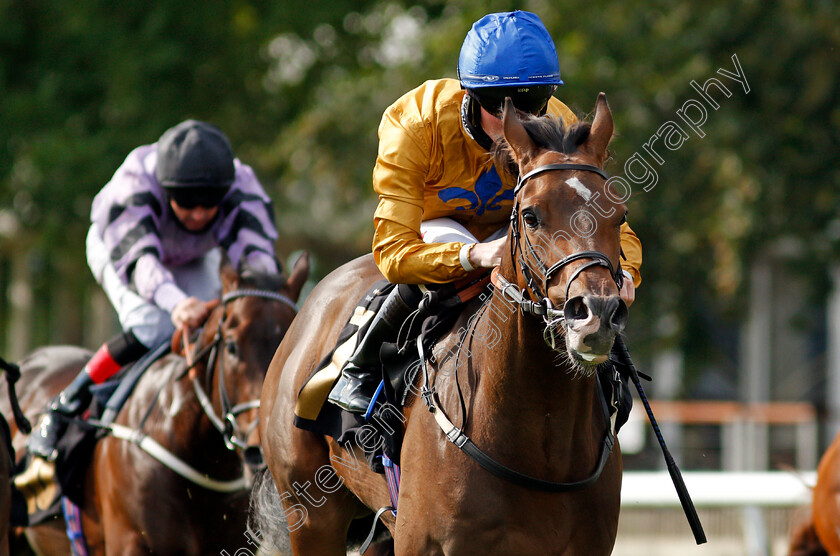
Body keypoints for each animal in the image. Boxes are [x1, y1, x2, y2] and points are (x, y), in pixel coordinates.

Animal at [256, 93, 632, 552]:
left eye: (618, 214)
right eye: (530, 216)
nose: (596, 313)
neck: (540, 442)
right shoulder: (424, 543)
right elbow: (398, 245)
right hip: (310, 514)